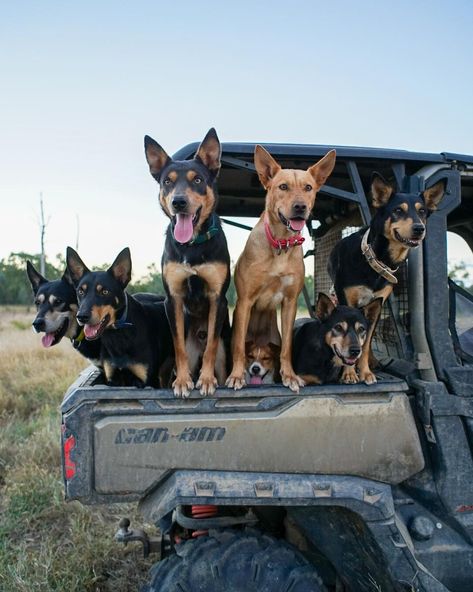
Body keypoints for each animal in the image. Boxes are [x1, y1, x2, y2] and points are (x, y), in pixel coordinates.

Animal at [64, 246, 171, 388]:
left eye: (104, 292)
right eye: (81, 291)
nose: (81, 317)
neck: (118, 334)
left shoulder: (147, 380)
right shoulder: (113, 379)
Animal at [145, 129, 231, 398]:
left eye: (198, 180)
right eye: (167, 182)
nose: (179, 202)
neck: (192, 246)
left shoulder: (218, 298)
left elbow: (211, 344)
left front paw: (206, 380)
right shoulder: (173, 298)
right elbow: (178, 345)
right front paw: (183, 381)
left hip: (224, 356)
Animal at [226, 145, 334, 394]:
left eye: (308, 188)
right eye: (283, 186)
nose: (300, 207)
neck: (280, 245)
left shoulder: (290, 302)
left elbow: (286, 347)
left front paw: (290, 376)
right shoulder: (244, 301)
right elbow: (238, 348)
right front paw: (236, 376)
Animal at [328, 172, 442, 384]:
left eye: (422, 212)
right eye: (397, 210)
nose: (419, 228)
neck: (377, 259)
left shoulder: (377, 305)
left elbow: (364, 345)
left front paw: (365, 372)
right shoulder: (345, 300)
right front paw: (349, 373)